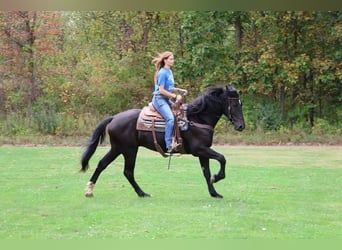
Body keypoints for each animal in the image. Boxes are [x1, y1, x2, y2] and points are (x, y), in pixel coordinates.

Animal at [81, 85, 244, 198]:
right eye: (235, 104)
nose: (241, 126)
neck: (197, 118)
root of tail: (114, 117)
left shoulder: (203, 152)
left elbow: (206, 172)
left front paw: (214, 192)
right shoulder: (200, 149)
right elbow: (222, 158)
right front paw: (217, 178)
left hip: (117, 148)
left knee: (102, 164)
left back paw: (89, 190)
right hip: (129, 150)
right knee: (128, 171)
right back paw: (142, 193)